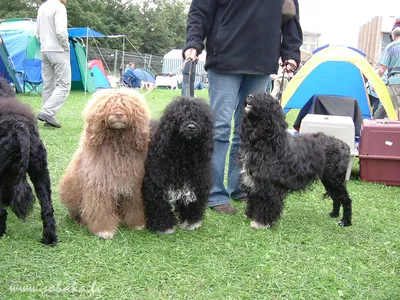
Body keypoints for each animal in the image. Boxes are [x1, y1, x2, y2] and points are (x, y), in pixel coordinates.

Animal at [57, 88, 149, 240]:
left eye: (125, 106)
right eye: (109, 106)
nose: (118, 114)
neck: (117, 143)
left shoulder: (133, 186)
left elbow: (133, 206)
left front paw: (137, 224)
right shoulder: (100, 186)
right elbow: (101, 210)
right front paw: (104, 230)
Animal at [142, 96, 214, 234]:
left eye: (199, 117)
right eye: (180, 116)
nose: (191, 127)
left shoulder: (197, 180)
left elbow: (193, 203)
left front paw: (191, 222)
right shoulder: (157, 184)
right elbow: (160, 205)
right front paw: (164, 227)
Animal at [239, 92, 352, 229]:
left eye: (264, 98)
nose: (249, 96)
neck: (267, 142)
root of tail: (344, 145)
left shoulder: (269, 184)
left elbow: (267, 202)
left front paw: (262, 222)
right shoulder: (255, 182)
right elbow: (253, 199)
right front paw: (250, 214)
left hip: (335, 178)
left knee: (345, 199)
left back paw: (345, 221)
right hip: (328, 179)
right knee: (336, 197)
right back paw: (334, 214)